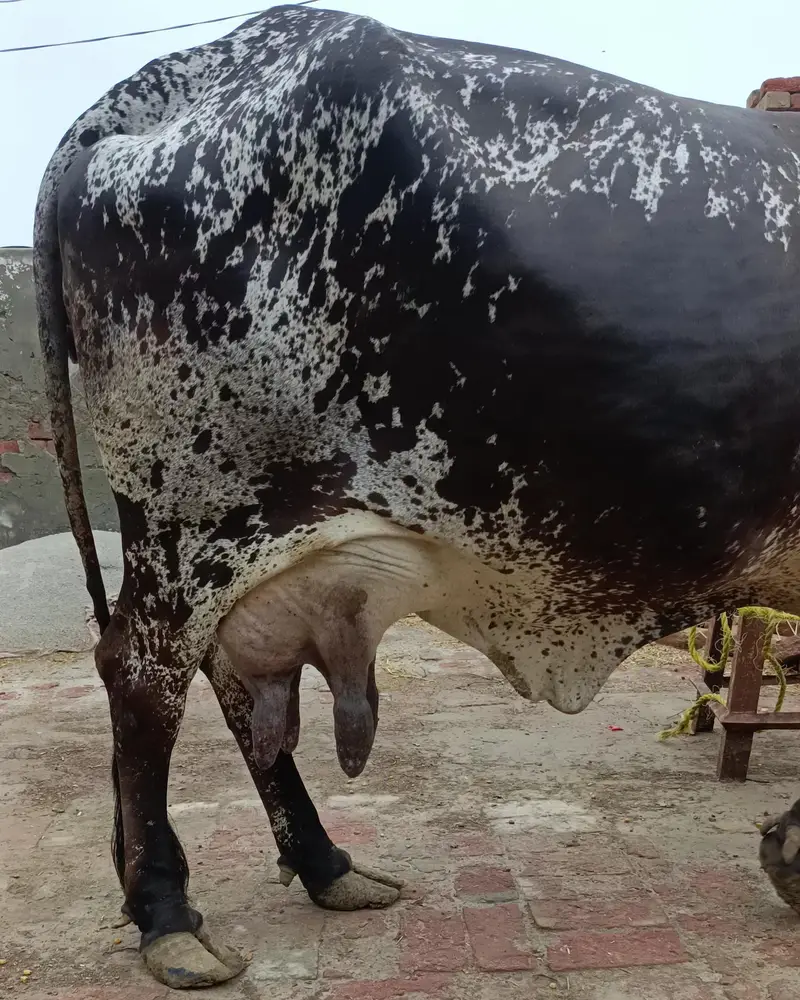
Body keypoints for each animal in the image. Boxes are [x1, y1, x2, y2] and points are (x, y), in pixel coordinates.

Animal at [34, 2, 800, 988]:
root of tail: (187, 72)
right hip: (191, 518)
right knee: (142, 677)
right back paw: (168, 915)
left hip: (234, 543)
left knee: (225, 682)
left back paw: (323, 865)